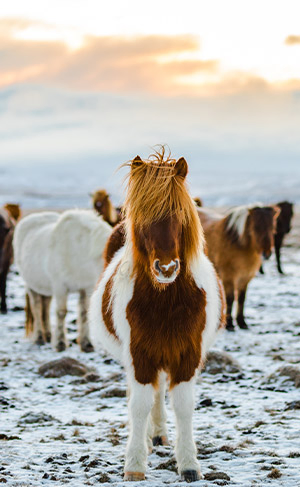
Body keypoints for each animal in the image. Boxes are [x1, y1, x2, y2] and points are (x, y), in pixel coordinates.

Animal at [12, 210, 111, 350]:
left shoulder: (86, 287)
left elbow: (84, 313)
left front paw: (86, 343)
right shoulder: (60, 287)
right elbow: (61, 312)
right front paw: (60, 343)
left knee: (45, 307)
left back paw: (48, 335)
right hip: (31, 285)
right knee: (36, 308)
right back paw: (39, 338)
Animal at [89, 150, 225, 484]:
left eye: (180, 214)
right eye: (143, 218)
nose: (166, 268)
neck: (166, 302)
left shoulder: (187, 355)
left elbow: (183, 406)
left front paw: (189, 464)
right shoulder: (139, 355)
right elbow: (139, 405)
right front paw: (135, 463)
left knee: (160, 391)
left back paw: (160, 435)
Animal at [198, 204, 280, 334]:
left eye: (273, 227)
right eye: (255, 227)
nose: (266, 254)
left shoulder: (245, 278)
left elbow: (241, 299)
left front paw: (242, 323)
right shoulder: (229, 277)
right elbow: (230, 299)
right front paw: (230, 324)